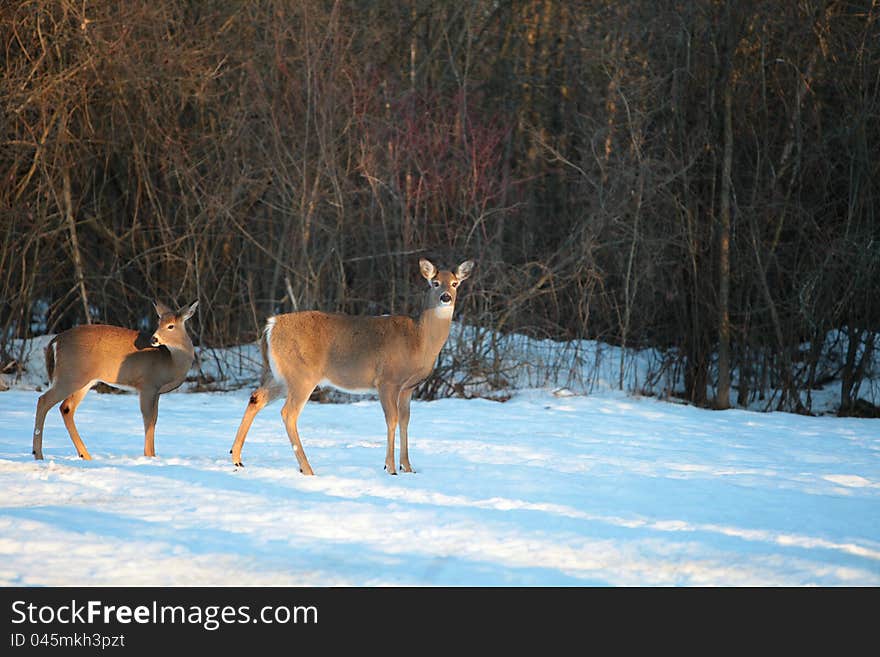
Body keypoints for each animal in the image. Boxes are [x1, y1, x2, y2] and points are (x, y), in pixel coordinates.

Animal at [31, 300, 199, 458]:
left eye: (170, 326)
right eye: (159, 323)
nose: (154, 339)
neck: (171, 361)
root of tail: (55, 341)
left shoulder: (156, 392)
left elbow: (154, 419)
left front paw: (152, 455)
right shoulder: (147, 385)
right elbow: (148, 420)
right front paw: (150, 455)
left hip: (84, 380)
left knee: (66, 408)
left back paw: (85, 455)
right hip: (70, 376)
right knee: (44, 400)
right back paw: (38, 454)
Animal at [227, 258, 474, 476]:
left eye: (455, 283)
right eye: (434, 282)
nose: (445, 297)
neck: (419, 339)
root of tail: (270, 326)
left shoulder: (408, 387)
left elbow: (405, 420)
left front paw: (408, 467)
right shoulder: (387, 380)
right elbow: (392, 419)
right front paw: (390, 468)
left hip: (279, 376)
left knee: (256, 398)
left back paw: (237, 458)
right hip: (301, 375)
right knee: (288, 413)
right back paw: (307, 469)